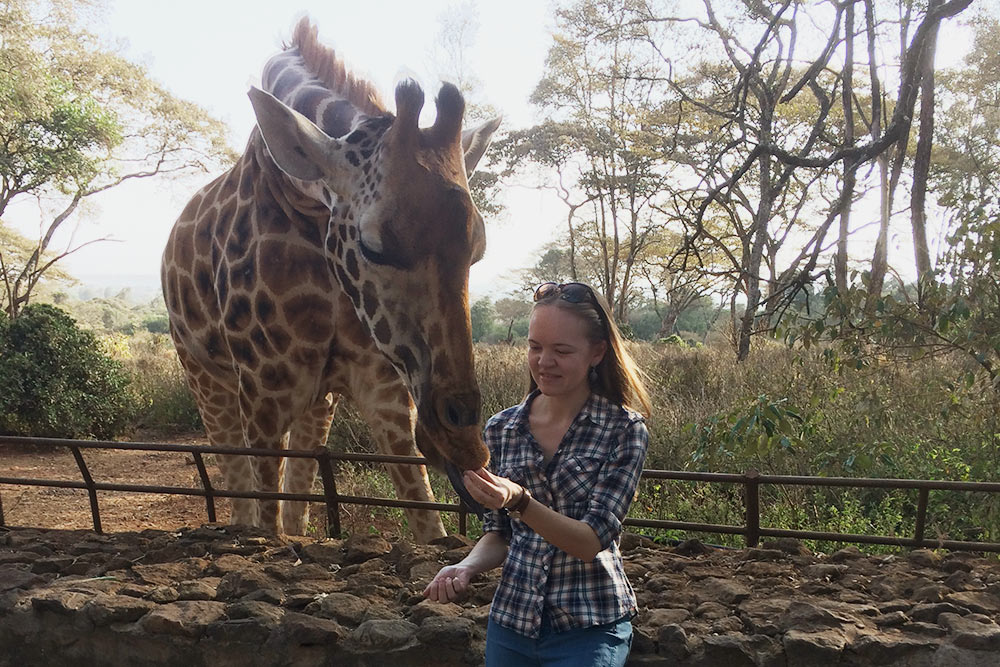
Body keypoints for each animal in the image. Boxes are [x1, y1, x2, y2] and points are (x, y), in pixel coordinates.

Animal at [162, 19, 500, 544]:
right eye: (373, 245)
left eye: (477, 248)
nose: (463, 442)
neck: (304, 202)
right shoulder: (264, 389)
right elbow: (266, 516)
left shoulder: (384, 385)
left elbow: (426, 520)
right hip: (203, 375)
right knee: (239, 491)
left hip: (318, 398)